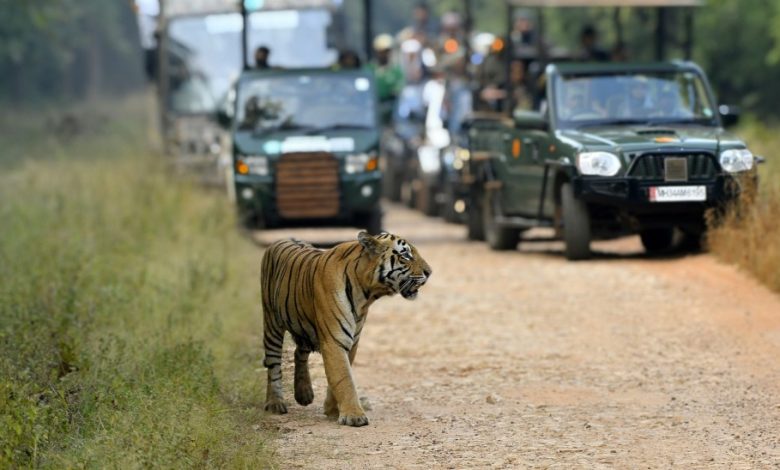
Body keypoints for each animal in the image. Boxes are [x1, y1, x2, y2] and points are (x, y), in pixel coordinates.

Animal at [262, 230, 432, 426]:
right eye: (406, 255)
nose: (429, 272)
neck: (366, 294)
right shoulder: (335, 340)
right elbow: (344, 378)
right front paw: (354, 415)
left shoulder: (352, 340)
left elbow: (339, 376)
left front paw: (332, 410)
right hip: (272, 324)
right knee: (274, 365)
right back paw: (275, 403)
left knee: (299, 353)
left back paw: (304, 394)